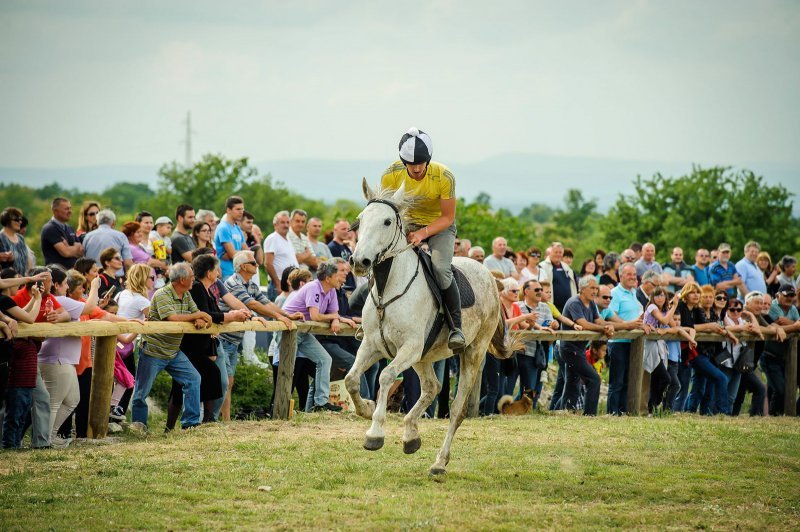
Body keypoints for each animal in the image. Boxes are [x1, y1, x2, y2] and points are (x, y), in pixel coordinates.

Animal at [344, 179, 512, 474]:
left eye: (387, 221)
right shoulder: (372, 345)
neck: (389, 288)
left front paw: (375, 432)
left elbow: (385, 376)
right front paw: (365, 408)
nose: (359, 262)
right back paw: (411, 436)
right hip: (425, 356)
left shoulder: (409, 348)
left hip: (471, 353)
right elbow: (351, 379)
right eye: (360, 219)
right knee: (433, 387)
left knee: (456, 410)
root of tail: (490, 278)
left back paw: (439, 462)